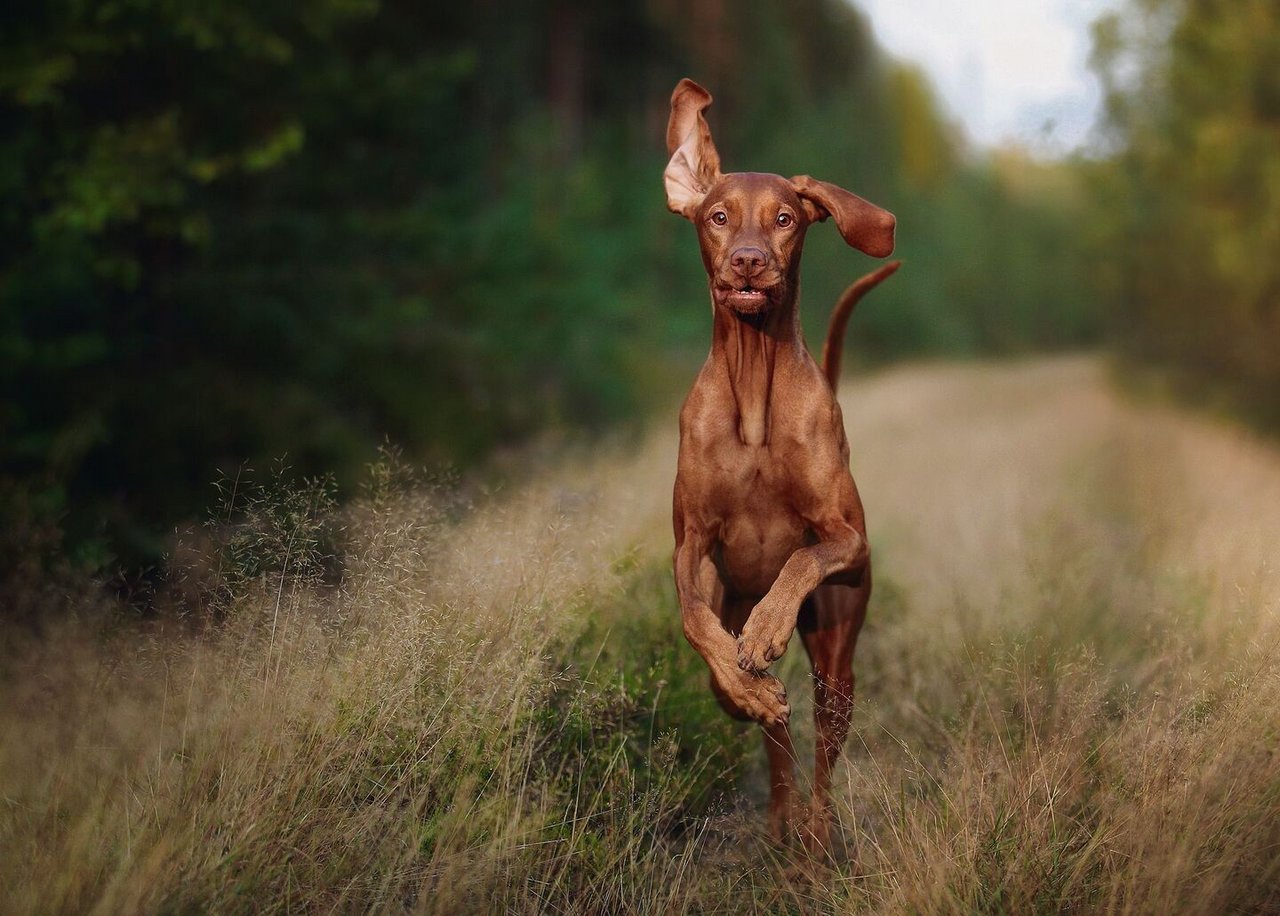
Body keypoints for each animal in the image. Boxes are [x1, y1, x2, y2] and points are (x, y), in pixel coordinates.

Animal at [660, 77, 901, 849]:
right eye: (718, 216)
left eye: (786, 218)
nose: (747, 260)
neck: (755, 395)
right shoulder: (691, 544)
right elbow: (694, 623)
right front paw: (748, 687)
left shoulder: (849, 539)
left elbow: (802, 555)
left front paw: (768, 627)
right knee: (777, 742)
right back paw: (774, 796)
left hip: (837, 655)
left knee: (823, 745)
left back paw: (816, 832)